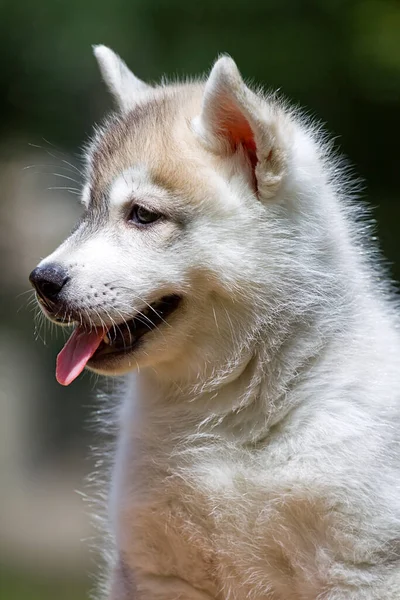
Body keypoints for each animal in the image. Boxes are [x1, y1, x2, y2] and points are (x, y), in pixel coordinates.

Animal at [29, 44, 400, 596]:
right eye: (85, 213)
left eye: (142, 215)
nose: (42, 281)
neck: (225, 411)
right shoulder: (159, 566)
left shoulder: (361, 565)